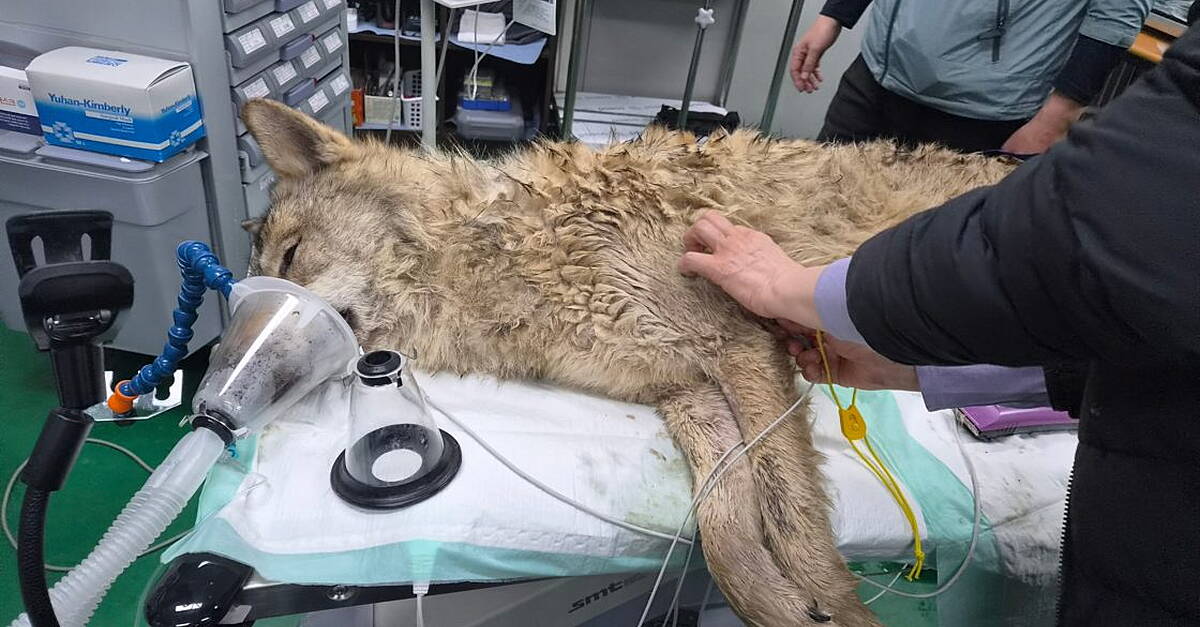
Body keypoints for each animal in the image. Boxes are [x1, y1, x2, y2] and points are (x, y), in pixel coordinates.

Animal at [239, 99, 1015, 625]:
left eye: (290, 258)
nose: (231, 376)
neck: (496, 251)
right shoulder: (686, 392)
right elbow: (727, 531)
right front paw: (784, 606)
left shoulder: (740, 347)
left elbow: (791, 517)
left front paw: (837, 609)